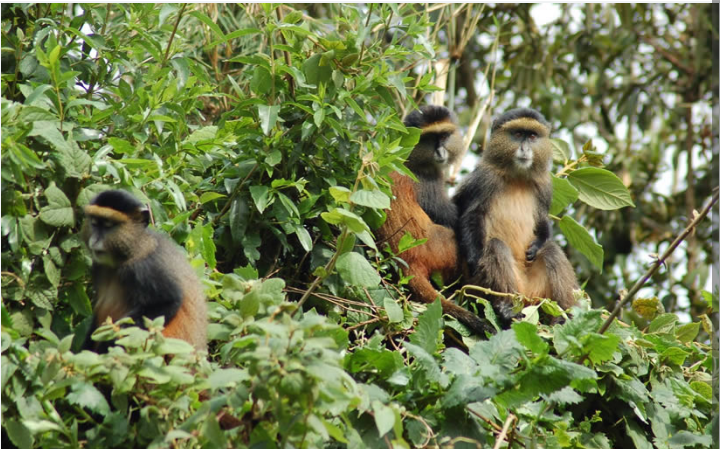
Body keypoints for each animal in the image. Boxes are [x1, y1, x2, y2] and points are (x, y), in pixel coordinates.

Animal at [376, 105, 494, 336]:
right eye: (431, 138)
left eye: (445, 135)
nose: (440, 152)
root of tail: (409, 260)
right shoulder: (428, 180)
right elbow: (452, 218)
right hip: (442, 250)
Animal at [453, 108, 578, 325]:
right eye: (518, 134)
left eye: (533, 136)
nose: (525, 149)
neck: (517, 176)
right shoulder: (484, 179)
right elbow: (472, 215)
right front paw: (474, 261)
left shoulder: (544, 187)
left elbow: (542, 221)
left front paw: (537, 244)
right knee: (495, 246)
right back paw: (506, 309)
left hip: (537, 294)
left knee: (552, 250)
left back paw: (563, 316)